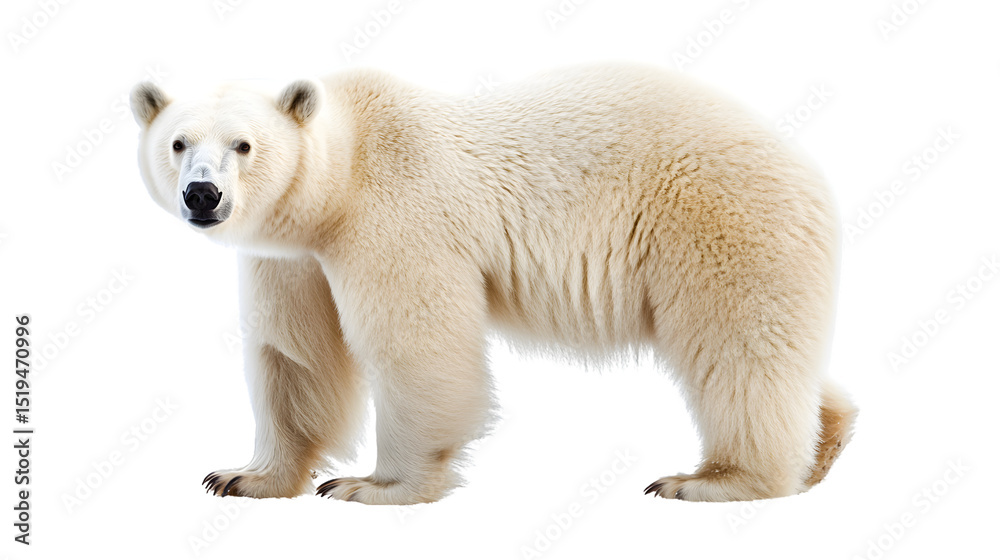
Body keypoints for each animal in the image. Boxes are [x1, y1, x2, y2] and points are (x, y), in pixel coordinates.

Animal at [130, 63, 857, 504]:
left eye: (244, 145)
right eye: (177, 142)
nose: (203, 195)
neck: (346, 168)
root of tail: (808, 170)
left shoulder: (394, 213)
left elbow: (416, 344)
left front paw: (374, 486)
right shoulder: (292, 253)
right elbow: (295, 354)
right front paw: (243, 476)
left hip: (716, 222)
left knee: (734, 348)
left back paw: (712, 480)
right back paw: (825, 442)